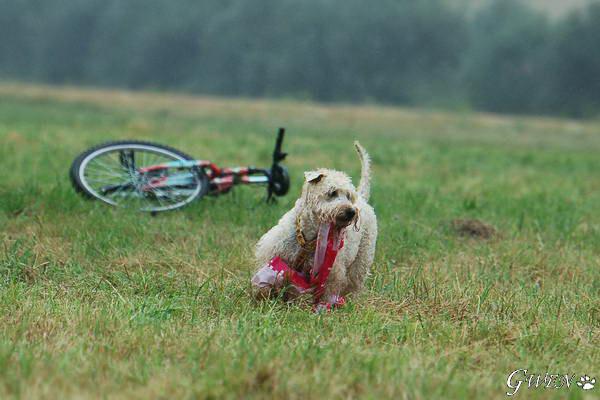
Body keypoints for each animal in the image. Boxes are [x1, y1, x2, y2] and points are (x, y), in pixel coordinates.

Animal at [252, 141, 376, 306]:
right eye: (332, 192)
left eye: (349, 196)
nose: (350, 211)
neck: (310, 234)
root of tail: (363, 198)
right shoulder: (275, 256)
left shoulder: (331, 272)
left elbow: (327, 291)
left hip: (362, 260)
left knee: (353, 283)